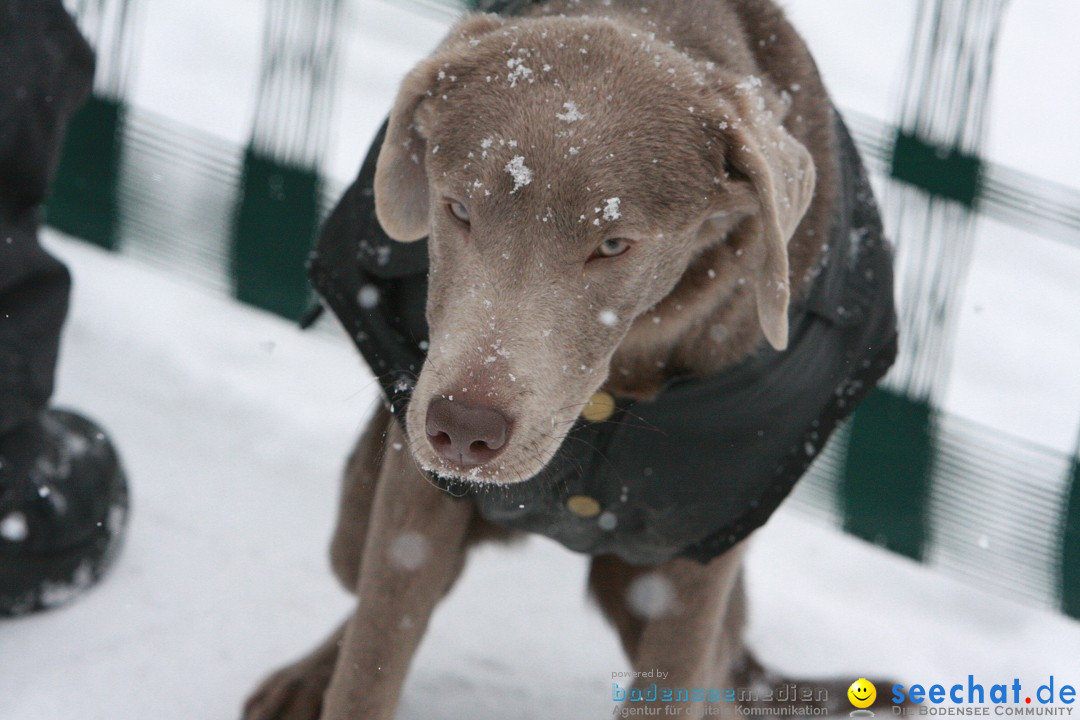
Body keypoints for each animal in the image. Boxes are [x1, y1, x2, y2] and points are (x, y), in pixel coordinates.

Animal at [243, 2, 894, 716]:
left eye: (613, 244)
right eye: (458, 208)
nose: (464, 428)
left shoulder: (699, 532)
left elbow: (677, 672)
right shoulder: (418, 488)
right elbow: (375, 651)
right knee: (353, 560)